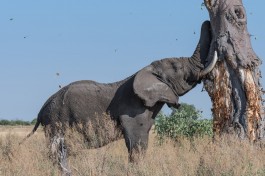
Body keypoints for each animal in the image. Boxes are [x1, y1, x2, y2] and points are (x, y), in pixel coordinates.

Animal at [21, 21, 217, 176]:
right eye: (177, 68)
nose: (208, 22)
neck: (146, 70)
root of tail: (41, 110)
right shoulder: (133, 110)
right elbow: (137, 142)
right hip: (56, 120)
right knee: (58, 151)